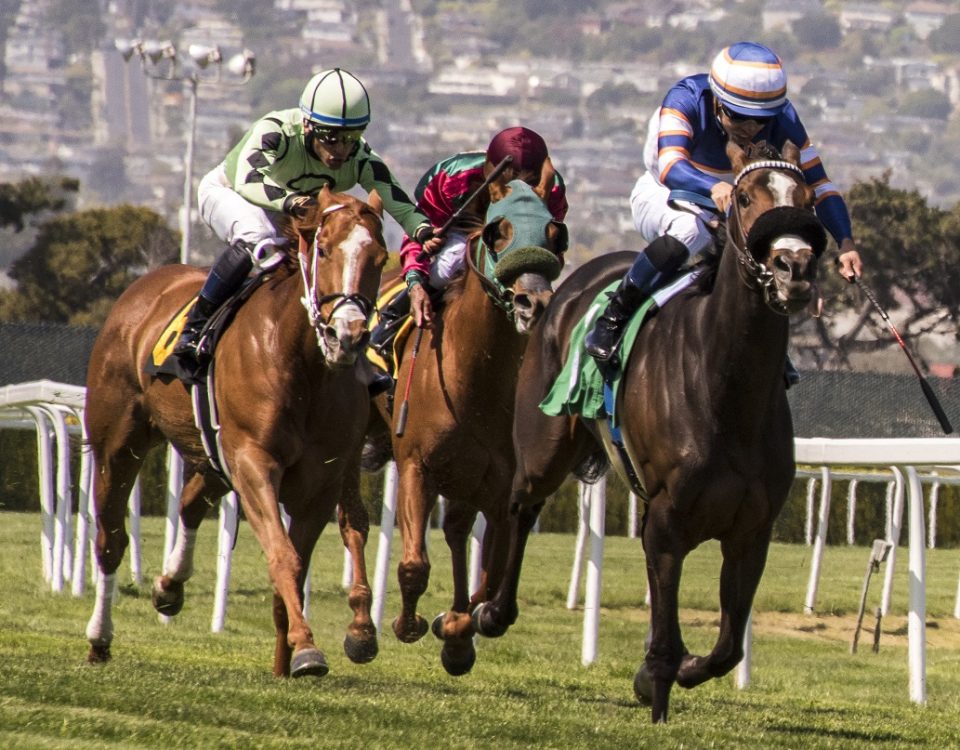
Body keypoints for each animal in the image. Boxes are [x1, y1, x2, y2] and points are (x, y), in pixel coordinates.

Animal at [82, 185, 388, 680]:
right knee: (111, 539)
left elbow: (302, 558)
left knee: (189, 503)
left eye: (379, 257)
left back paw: (169, 587)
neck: (302, 363)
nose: (347, 336)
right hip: (119, 442)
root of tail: (143, 289)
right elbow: (283, 555)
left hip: (211, 453)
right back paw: (99, 637)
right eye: (323, 249)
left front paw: (291, 655)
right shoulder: (253, 463)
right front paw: (307, 648)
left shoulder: (321, 480)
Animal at [366, 175, 564, 676]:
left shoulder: (499, 489)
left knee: (457, 532)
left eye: (555, 234)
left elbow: (488, 580)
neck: (473, 380)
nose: (533, 303)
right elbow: (414, 565)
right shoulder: (416, 467)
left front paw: (455, 631)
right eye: (497, 232)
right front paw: (407, 624)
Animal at [472, 141, 824, 724]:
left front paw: (679, 669)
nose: (792, 267)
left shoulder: (752, 531)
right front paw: (656, 684)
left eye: (809, 199)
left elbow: (728, 647)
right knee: (519, 507)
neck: (727, 393)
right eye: (745, 197)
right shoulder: (665, 521)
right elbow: (664, 633)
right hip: (544, 446)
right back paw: (485, 612)